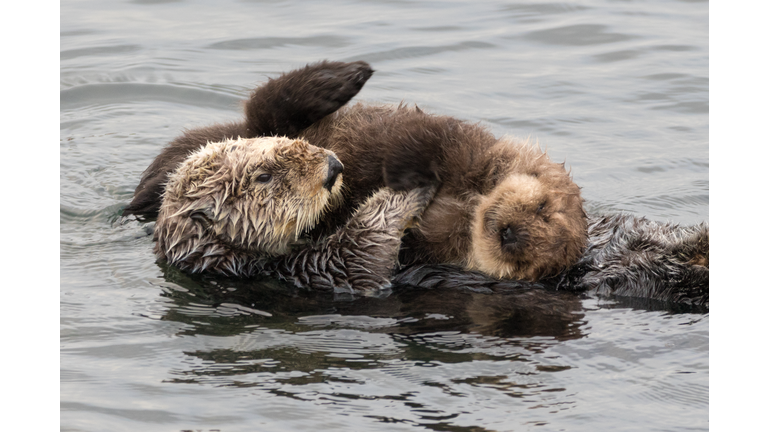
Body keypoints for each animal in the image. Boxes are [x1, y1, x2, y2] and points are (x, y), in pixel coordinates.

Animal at [127, 60, 587, 282]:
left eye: (545, 214)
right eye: (263, 177)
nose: (332, 166)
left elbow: (364, 248)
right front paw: (411, 178)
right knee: (263, 106)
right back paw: (343, 76)